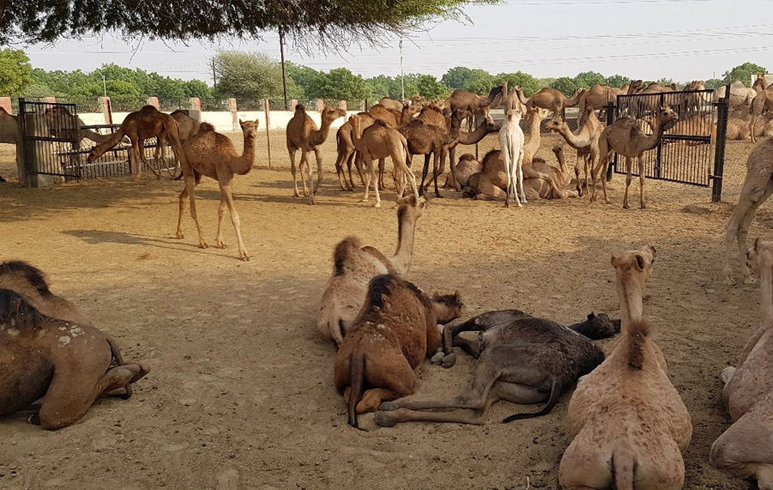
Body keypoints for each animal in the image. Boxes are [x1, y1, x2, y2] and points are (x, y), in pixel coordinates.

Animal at [176, 120, 258, 261]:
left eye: (255, 125)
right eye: (243, 126)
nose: (251, 133)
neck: (231, 159)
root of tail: (185, 143)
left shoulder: (227, 179)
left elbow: (222, 211)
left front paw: (220, 241)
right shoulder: (223, 176)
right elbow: (234, 216)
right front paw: (244, 253)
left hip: (197, 173)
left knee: (182, 197)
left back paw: (179, 233)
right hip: (185, 161)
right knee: (193, 205)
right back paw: (202, 242)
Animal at [334, 274, 463, 428]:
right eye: (459, 305)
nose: (462, 307)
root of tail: (358, 355)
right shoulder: (431, 324)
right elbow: (437, 339)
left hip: (341, 374)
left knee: (349, 395)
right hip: (403, 378)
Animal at [374, 311, 619, 427]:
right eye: (602, 323)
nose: (609, 329)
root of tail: (559, 378)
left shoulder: (483, 324)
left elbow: (452, 328)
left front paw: (445, 352)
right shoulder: (480, 344)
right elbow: (458, 336)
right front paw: (446, 353)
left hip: (493, 357)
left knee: (472, 399)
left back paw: (392, 407)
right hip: (506, 387)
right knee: (476, 415)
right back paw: (390, 414)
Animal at [724, 137, 773, 284]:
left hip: (767, 183)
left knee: (743, 226)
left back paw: (747, 275)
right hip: (760, 174)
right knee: (733, 225)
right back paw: (728, 276)